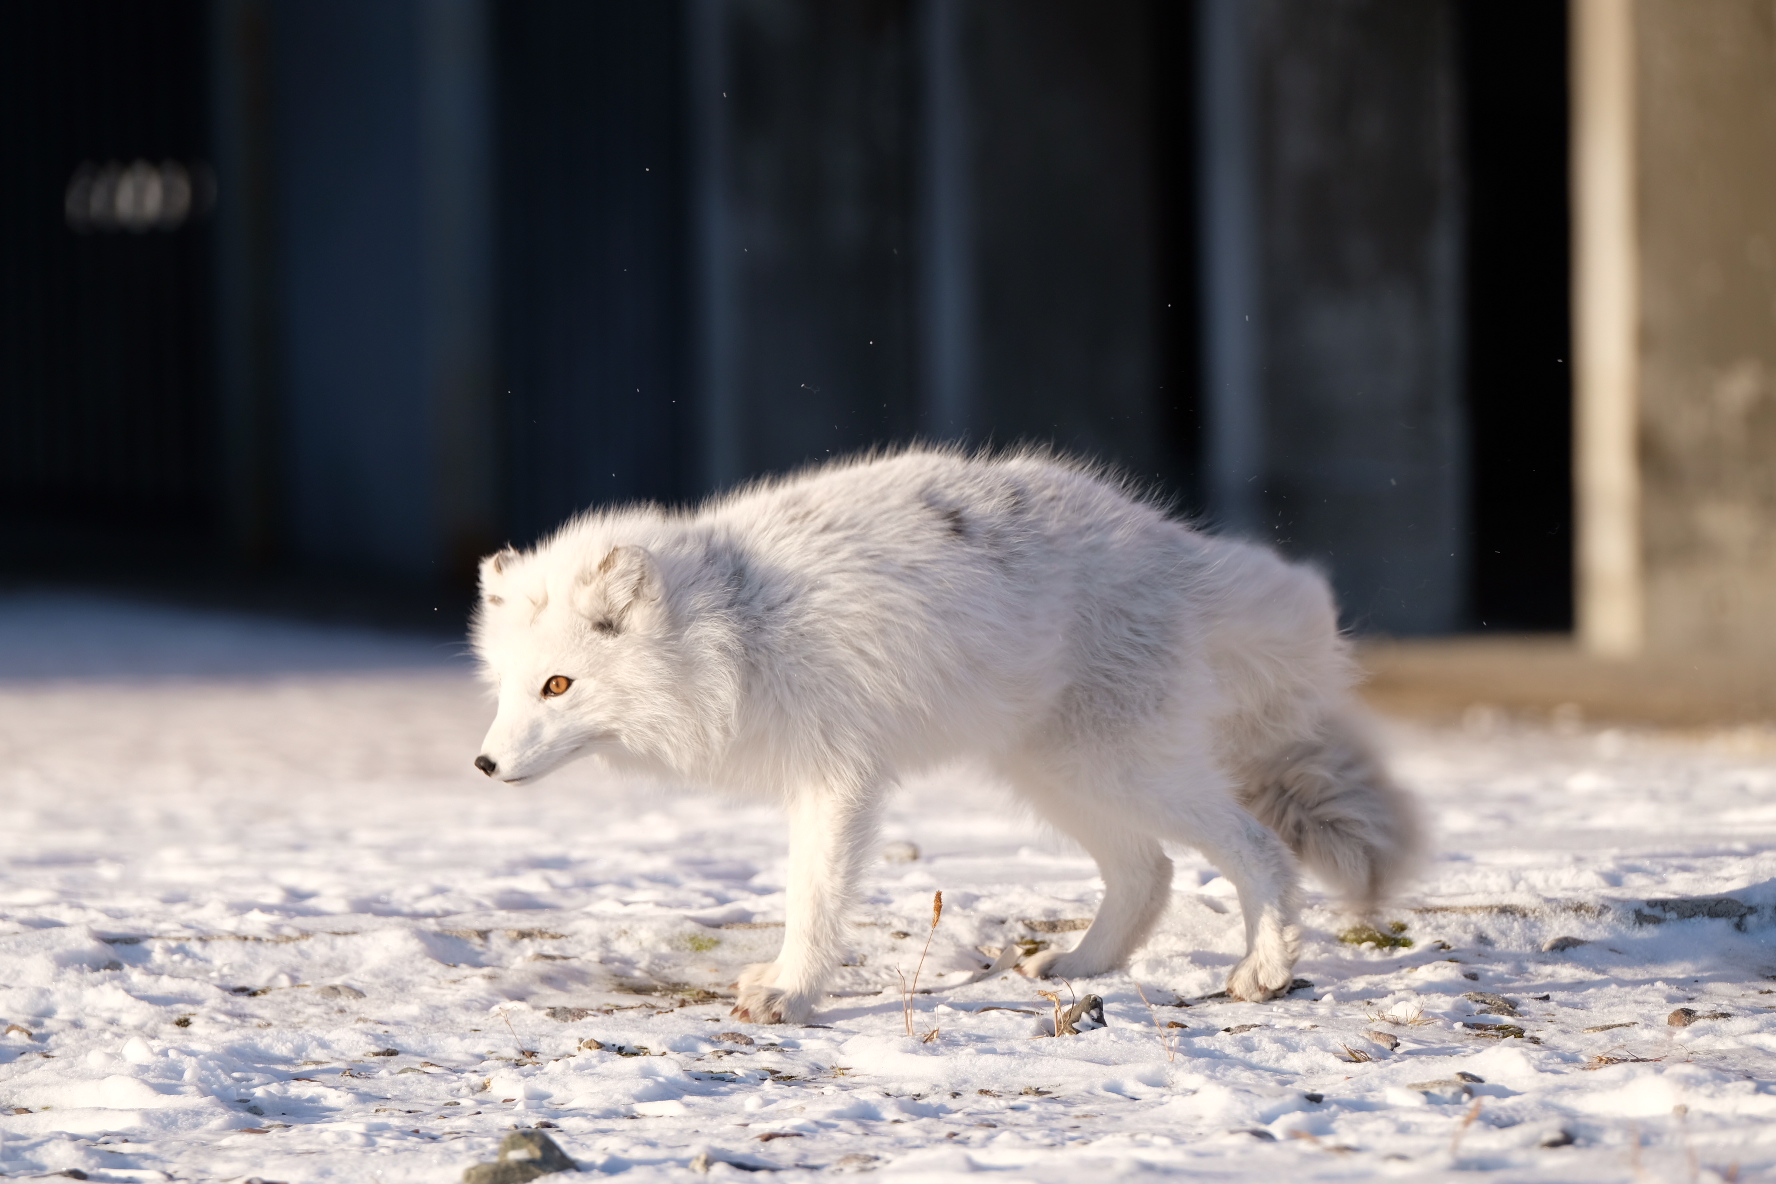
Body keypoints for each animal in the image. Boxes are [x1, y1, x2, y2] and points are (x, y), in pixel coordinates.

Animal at [468, 449, 1413, 1022]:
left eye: (560, 685)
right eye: (508, 687)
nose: (483, 762)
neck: (736, 626)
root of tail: (1168, 543)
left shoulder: (837, 781)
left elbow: (813, 900)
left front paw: (792, 993)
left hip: (1119, 772)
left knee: (1255, 849)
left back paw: (1265, 971)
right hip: (1057, 776)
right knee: (1150, 871)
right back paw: (1080, 967)